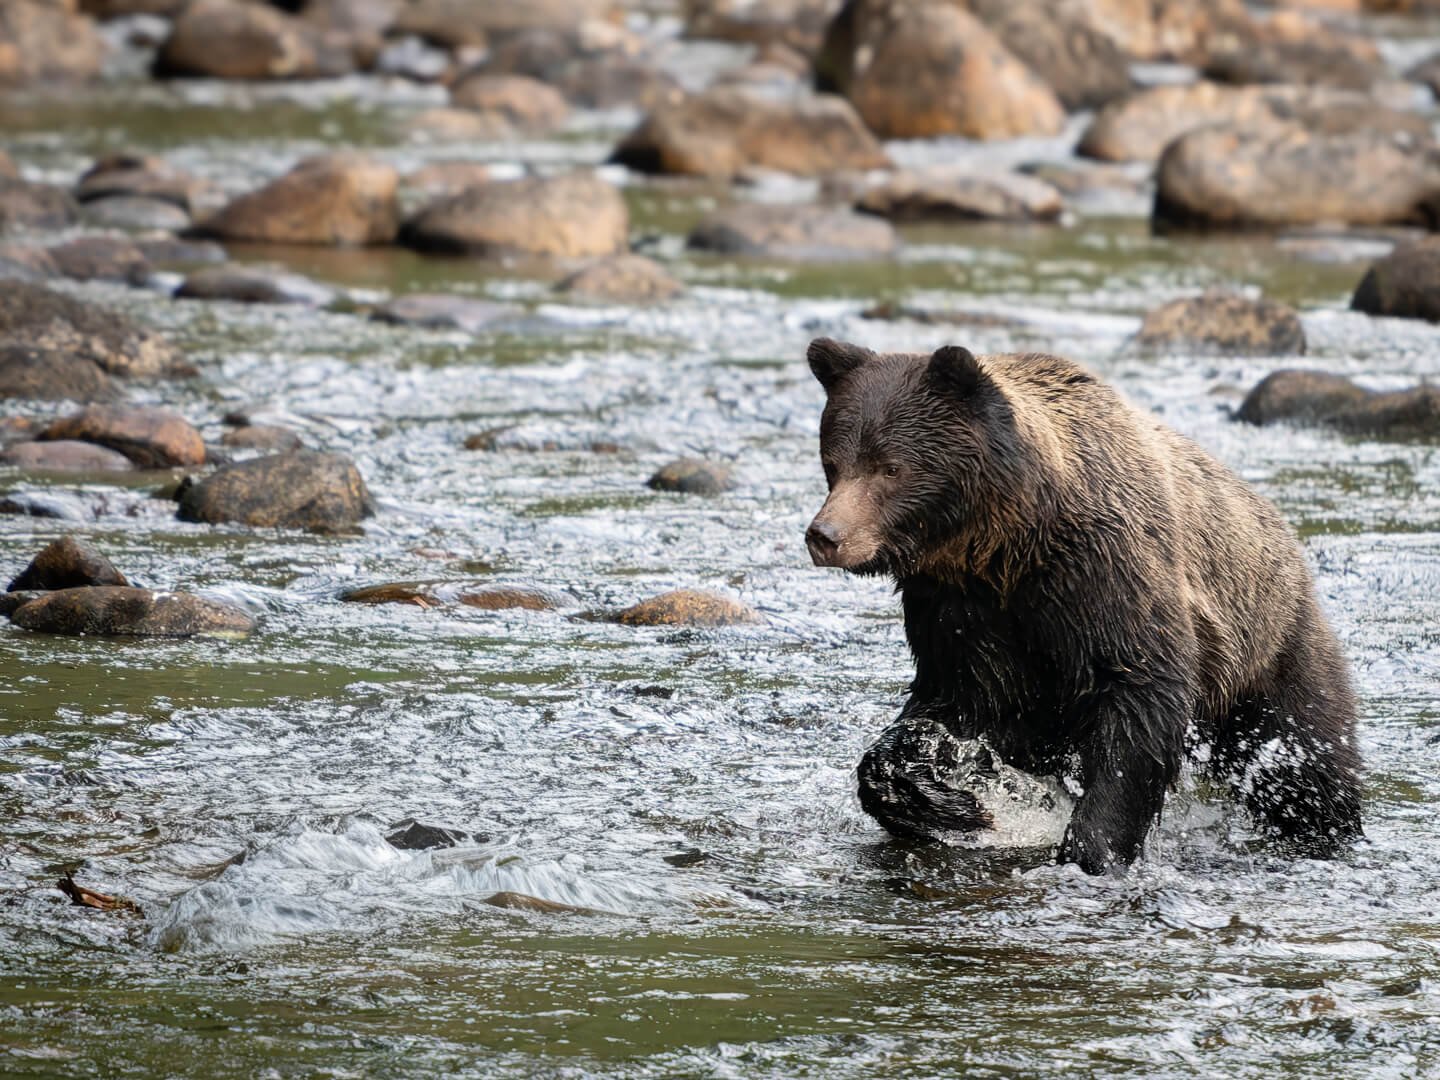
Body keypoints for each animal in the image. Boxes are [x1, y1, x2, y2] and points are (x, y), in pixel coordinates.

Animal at [804, 337, 1363, 874]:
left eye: (891, 467)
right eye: (834, 463)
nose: (825, 535)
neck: (1006, 542)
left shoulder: (1105, 575)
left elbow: (1141, 701)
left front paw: (1090, 848)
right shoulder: (959, 611)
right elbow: (949, 707)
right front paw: (948, 803)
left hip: (1269, 655)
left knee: (1303, 762)